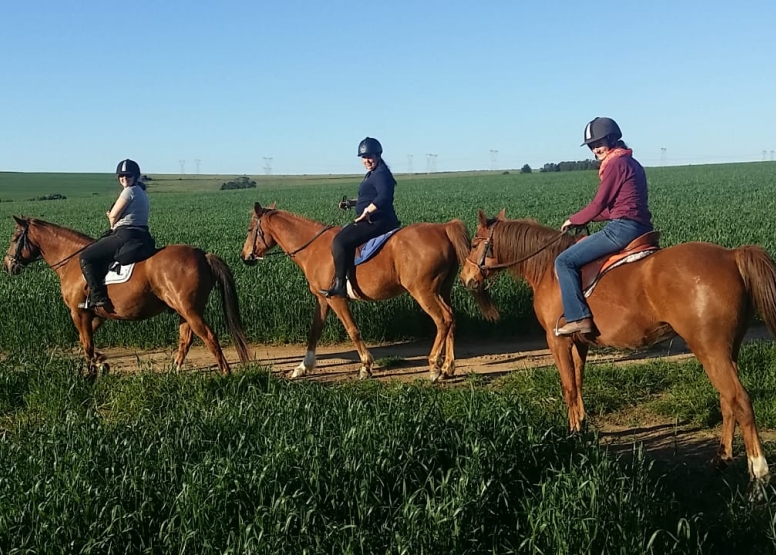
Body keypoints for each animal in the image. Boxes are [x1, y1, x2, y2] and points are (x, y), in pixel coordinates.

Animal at [3, 215, 250, 376]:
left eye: (14, 238)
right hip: (184, 311)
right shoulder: (96, 314)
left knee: (209, 336)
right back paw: (175, 369)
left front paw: (91, 372)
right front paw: (101, 362)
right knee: (186, 339)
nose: (7, 265)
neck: (72, 261)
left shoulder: (78, 312)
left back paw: (226, 373)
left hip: (190, 310)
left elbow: (86, 343)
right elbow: (87, 340)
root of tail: (203, 255)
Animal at [239, 203, 500, 382]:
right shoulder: (322, 299)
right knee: (452, 318)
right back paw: (448, 367)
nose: (244, 256)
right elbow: (314, 331)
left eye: (251, 228)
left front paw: (365, 366)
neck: (313, 247)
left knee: (443, 320)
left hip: (423, 292)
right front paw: (303, 367)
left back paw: (435, 367)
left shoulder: (336, 298)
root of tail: (443, 228)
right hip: (441, 291)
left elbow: (353, 330)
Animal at [460, 208, 776, 482]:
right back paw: (721, 458)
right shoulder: (580, 342)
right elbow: (579, 381)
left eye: (474, 243)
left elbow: (568, 385)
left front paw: (573, 432)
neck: (548, 267)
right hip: (726, 351)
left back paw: (758, 471)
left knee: (740, 400)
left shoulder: (557, 340)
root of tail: (732, 255)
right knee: (727, 400)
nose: (465, 277)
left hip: (711, 350)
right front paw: (583, 426)